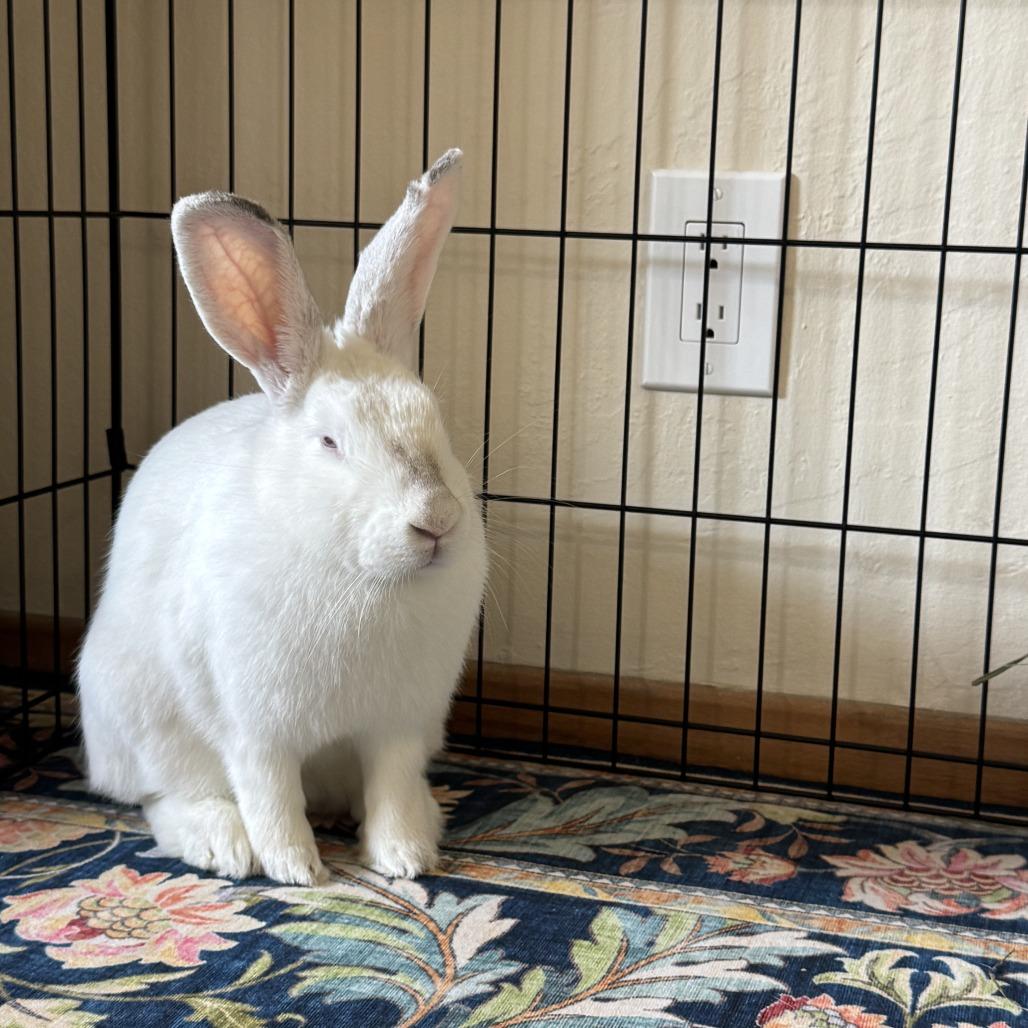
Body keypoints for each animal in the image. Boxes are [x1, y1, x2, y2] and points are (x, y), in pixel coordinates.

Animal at [76, 149, 487, 886]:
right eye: (329, 442)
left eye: (432, 418)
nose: (436, 520)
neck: (366, 578)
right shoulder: (257, 730)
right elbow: (269, 794)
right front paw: (297, 870)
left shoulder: (397, 726)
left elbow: (389, 789)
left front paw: (405, 858)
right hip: (147, 726)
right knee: (165, 798)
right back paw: (222, 844)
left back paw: (427, 813)